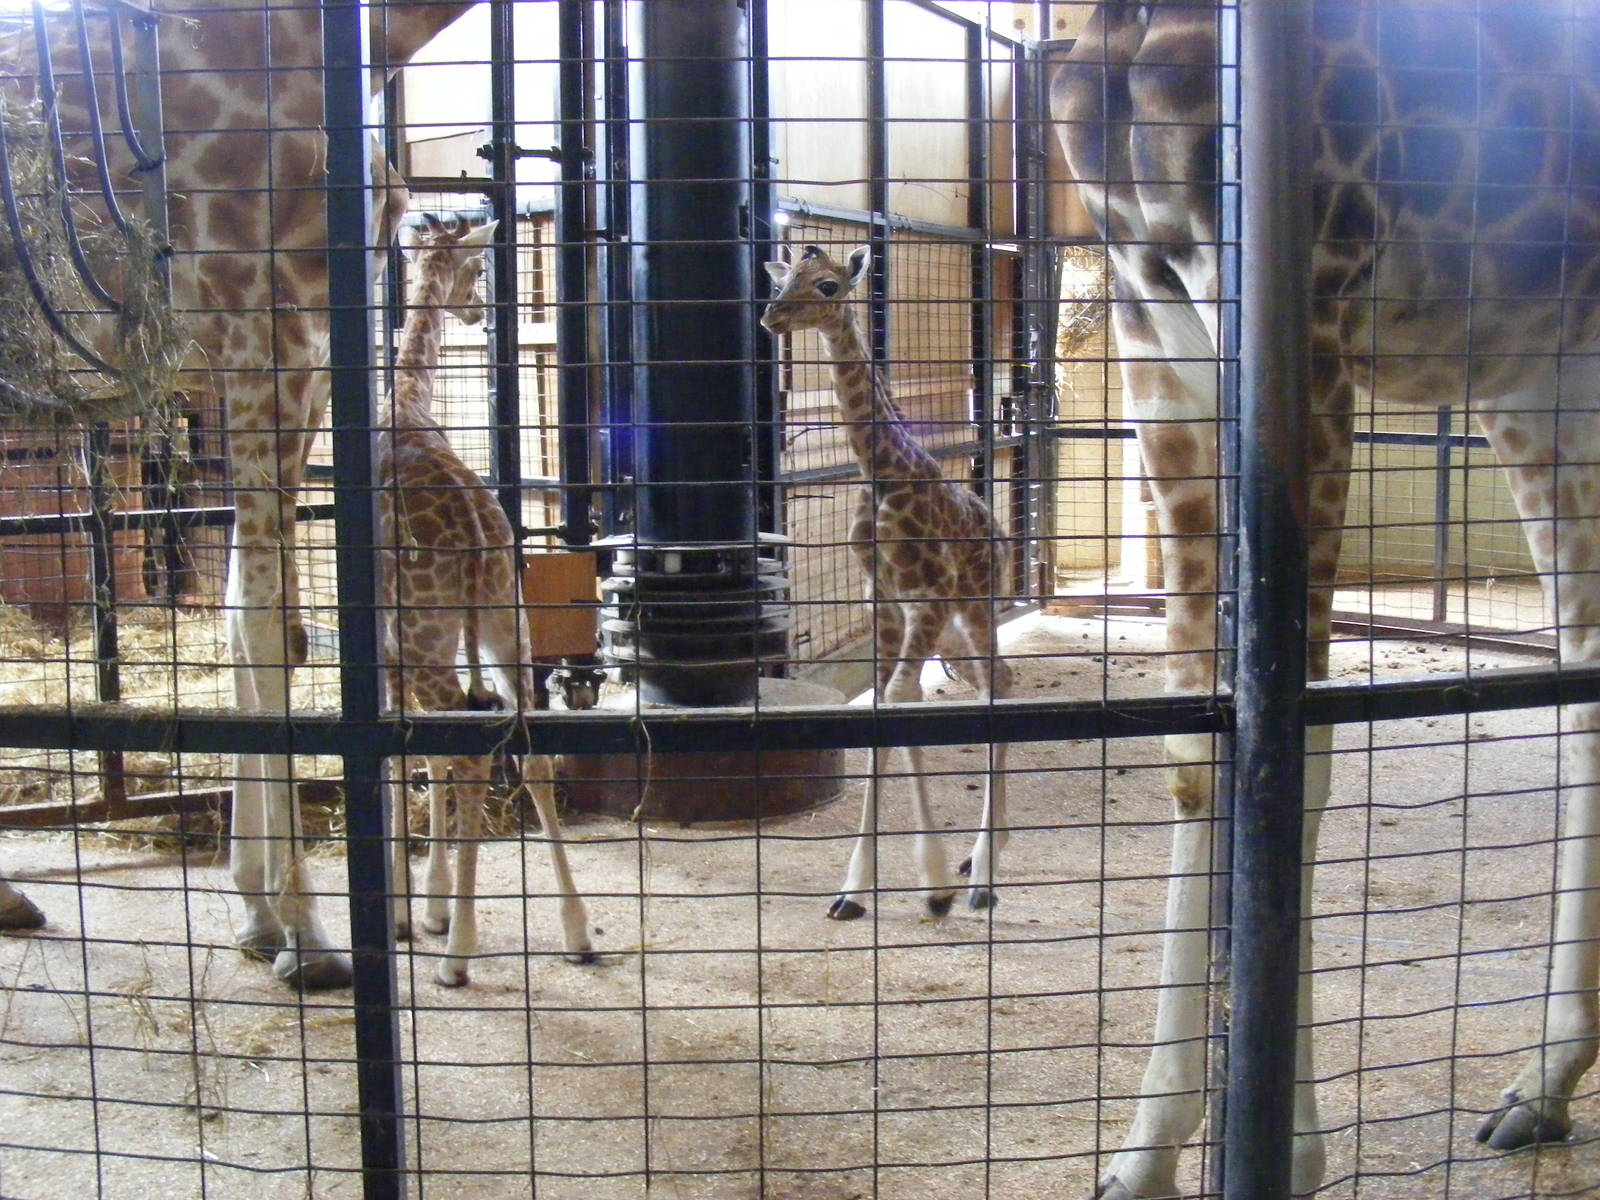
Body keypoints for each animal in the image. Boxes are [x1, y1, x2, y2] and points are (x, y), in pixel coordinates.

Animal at [0, 2, 476, 990]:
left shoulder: (300, 346)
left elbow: (242, 618)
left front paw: (258, 912)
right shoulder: (269, 318)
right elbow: (267, 628)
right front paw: (310, 934)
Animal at [377, 214, 592, 987]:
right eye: (475, 270)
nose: (475, 310)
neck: (405, 404)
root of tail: (473, 537)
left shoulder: (385, 647)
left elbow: (405, 759)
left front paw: (414, 910)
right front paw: (431, 903)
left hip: (435, 638)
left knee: (472, 751)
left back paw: (457, 954)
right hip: (506, 623)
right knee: (530, 749)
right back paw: (577, 931)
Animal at [762, 244, 1015, 919]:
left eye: (827, 285)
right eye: (784, 280)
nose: (773, 317)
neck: (882, 471)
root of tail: (1002, 535)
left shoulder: (927, 595)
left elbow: (901, 697)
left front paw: (934, 886)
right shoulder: (885, 602)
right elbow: (885, 703)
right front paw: (854, 890)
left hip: (973, 607)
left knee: (999, 686)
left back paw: (982, 875)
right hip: (954, 629)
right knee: (999, 679)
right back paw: (987, 852)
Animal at [1052, 2, 1600, 1195]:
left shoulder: (1307, 306)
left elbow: (1290, 745)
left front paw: (1286, 1144)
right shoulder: (1162, 342)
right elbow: (1200, 744)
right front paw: (1146, 1151)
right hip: (1540, 379)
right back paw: (1539, 1085)